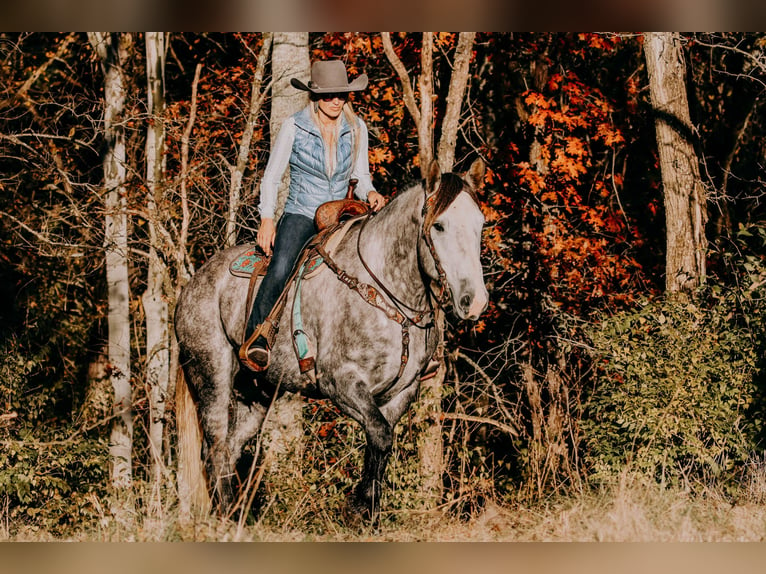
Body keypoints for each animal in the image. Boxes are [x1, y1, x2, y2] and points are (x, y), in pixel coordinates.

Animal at [175, 158, 488, 520]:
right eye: (438, 226)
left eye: (480, 224)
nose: (475, 302)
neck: (385, 293)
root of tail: (191, 286)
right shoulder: (340, 383)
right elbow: (380, 436)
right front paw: (357, 510)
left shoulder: (400, 394)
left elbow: (379, 445)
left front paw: (368, 513)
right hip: (212, 374)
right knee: (214, 445)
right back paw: (226, 516)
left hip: (255, 392)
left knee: (232, 447)